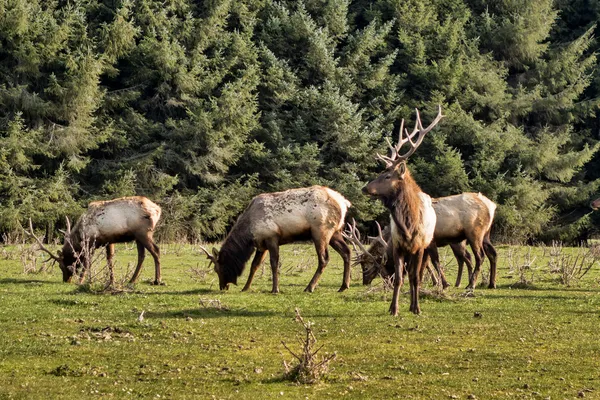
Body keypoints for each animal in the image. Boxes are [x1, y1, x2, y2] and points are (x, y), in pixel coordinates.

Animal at [25, 196, 162, 284]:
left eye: (63, 266)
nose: (66, 280)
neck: (80, 235)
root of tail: (158, 209)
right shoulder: (108, 240)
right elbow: (109, 260)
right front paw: (111, 281)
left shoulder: (91, 242)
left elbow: (87, 262)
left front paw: (81, 280)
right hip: (137, 236)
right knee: (142, 255)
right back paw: (132, 280)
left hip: (144, 233)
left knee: (156, 250)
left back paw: (157, 280)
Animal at [199, 185, 354, 294]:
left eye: (217, 269)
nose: (222, 287)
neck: (248, 232)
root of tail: (344, 203)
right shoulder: (261, 244)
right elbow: (254, 265)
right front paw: (245, 287)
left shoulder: (272, 237)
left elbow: (274, 264)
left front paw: (275, 289)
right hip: (336, 232)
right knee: (346, 251)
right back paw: (344, 286)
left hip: (320, 230)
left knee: (324, 259)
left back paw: (310, 287)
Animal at [350, 192, 500, 290]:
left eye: (368, 267)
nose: (365, 282)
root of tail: (492, 206)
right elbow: (423, 264)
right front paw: (421, 282)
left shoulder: (430, 241)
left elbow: (433, 261)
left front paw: (444, 284)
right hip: (485, 235)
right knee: (492, 253)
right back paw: (491, 284)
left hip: (474, 233)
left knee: (479, 256)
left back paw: (471, 284)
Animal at [360, 105, 440, 316]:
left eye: (387, 176)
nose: (365, 188)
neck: (408, 226)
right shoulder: (397, 246)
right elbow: (398, 278)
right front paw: (394, 308)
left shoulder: (419, 247)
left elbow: (415, 278)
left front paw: (417, 308)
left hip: (427, 247)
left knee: (416, 274)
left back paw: (413, 305)